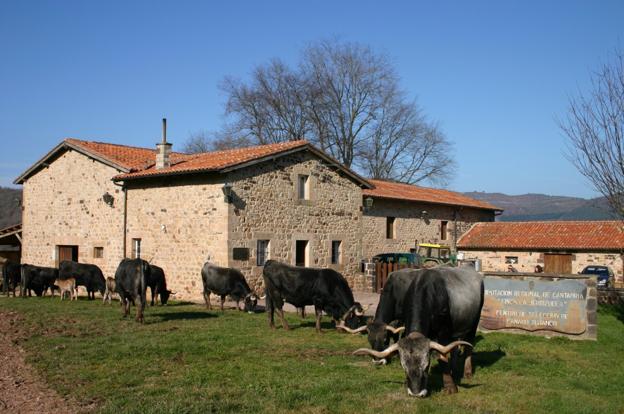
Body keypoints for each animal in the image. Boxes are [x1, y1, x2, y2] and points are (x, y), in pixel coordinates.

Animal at [352, 266, 482, 396]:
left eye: (385, 340)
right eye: (404, 367)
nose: (416, 393)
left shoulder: (443, 331)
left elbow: (443, 356)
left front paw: (450, 386)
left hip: (474, 322)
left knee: (468, 345)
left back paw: (467, 372)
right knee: (455, 347)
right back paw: (454, 371)